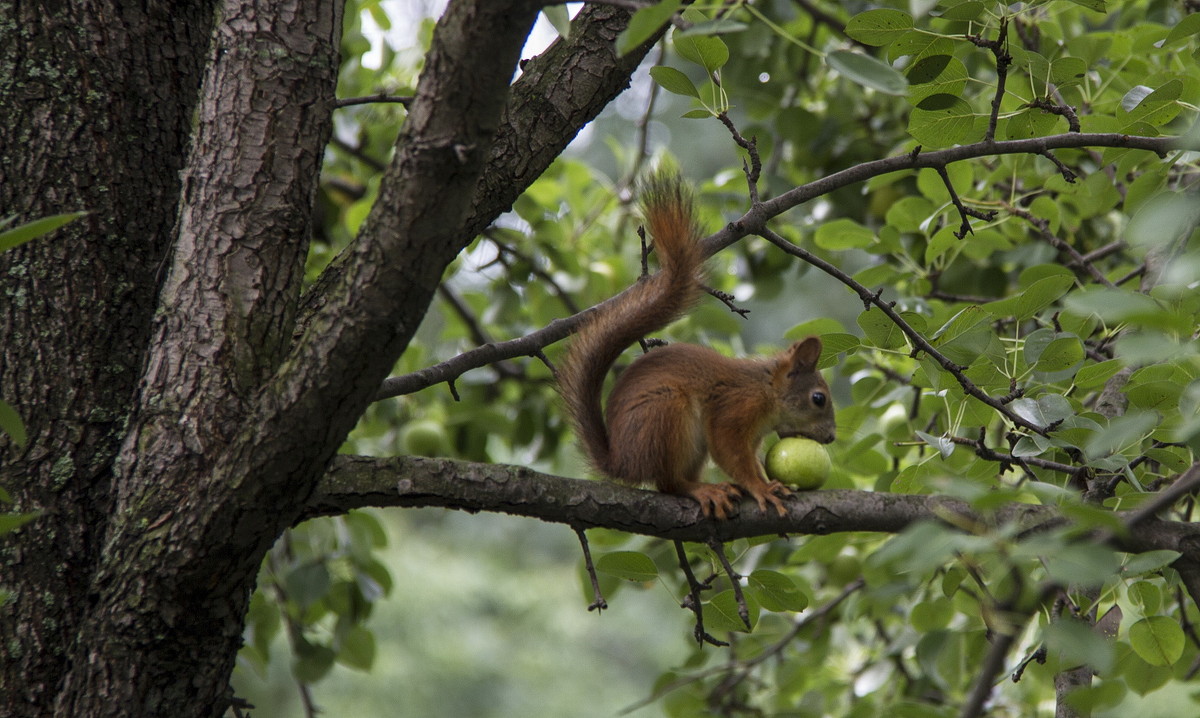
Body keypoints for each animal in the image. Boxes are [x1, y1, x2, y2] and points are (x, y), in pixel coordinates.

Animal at [559, 176, 835, 521]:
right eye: (818, 399)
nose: (831, 437)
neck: (766, 390)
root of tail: (622, 462)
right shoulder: (733, 409)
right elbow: (731, 453)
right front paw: (762, 488)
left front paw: (765, 484)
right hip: (666, 413)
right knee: (669, 482)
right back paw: (702, 490)